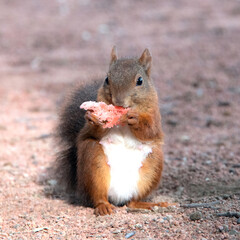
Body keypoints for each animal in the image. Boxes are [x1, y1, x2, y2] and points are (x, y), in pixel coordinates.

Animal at [55, 47, 172, 216]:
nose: (119, 102)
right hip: (93, 160)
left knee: (132, 202)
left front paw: (135, 119)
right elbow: (91, 130)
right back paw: (103, 206)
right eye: (107, 79)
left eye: (140, 81)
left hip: (153, 165)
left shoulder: (155, 117)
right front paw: (93, 117)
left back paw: (150, 204)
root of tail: (119, 196)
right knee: (98, 196)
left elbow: (150, 131)